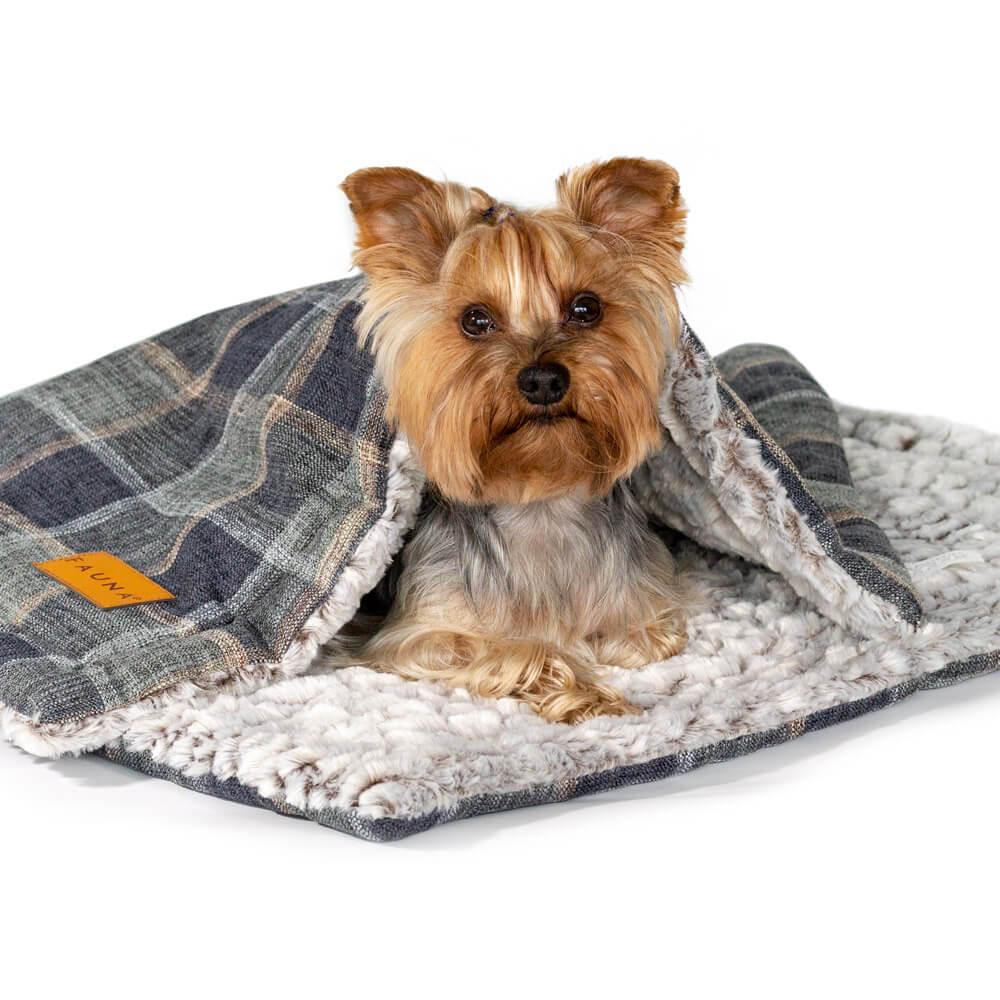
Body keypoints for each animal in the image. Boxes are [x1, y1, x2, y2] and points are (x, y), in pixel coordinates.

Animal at [338, 158, 690, 723]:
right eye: (474, 320)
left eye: (586, 308)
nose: (543, 379)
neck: (538, 500)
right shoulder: (418, 637)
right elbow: (515, 649)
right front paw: (587, 693)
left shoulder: (650, 609)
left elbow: (641, 636)